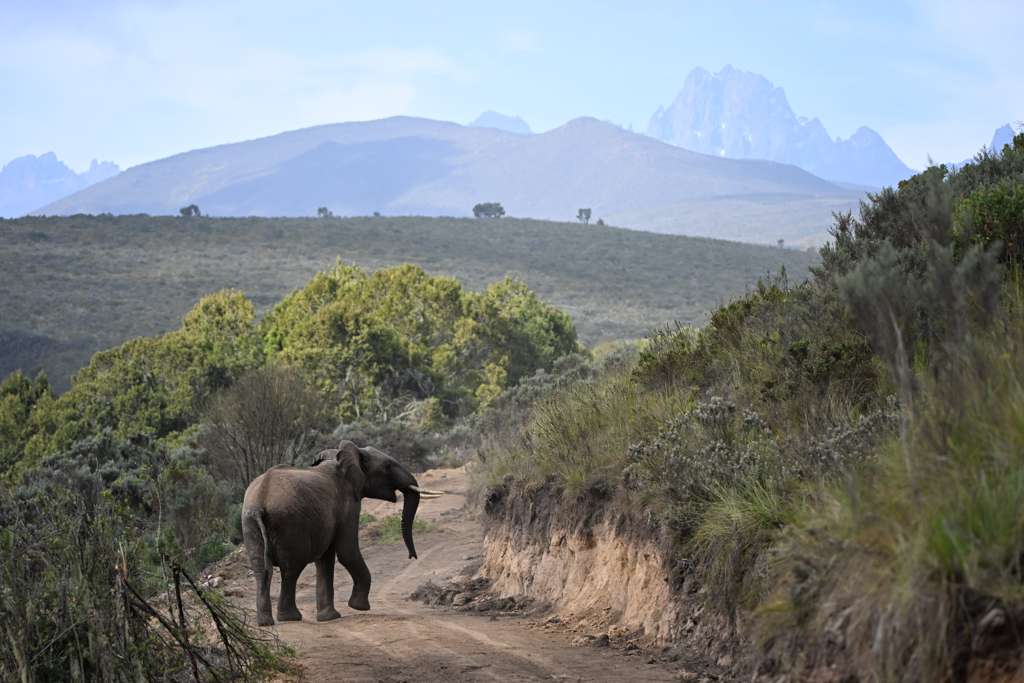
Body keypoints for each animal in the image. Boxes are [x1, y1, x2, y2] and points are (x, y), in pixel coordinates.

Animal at [240, 440, 442, 626]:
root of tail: (259, 502)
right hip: (289, 525)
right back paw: (290, 618)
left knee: (262, 570)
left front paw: (329, 617)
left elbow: (326, 559)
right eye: (387, 466)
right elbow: (347, 551)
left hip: (250, 524)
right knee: (291, 569)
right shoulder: (348, 504)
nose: (412, 556)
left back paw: (265, 622)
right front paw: (357, 608)